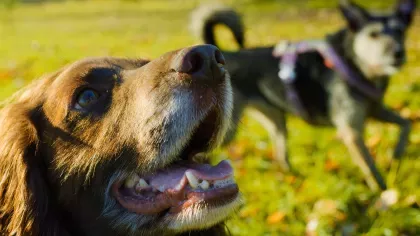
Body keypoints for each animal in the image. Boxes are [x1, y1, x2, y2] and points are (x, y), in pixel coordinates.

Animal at [191, 0, 416, 191]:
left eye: (400, 31)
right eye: (374, 35)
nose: (398, 53)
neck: (354, 61)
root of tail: (225, 54)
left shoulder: (375, 109)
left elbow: (407, 123)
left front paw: (397, 154)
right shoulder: (351, 130)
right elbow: (370, 167)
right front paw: (383, 194)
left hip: (276, 121)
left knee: (280, 153)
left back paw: (290, 178)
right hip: (226, 130)